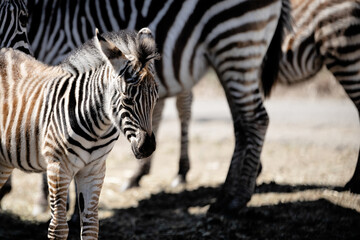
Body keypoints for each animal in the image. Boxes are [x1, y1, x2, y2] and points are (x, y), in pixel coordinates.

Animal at [0, 27, 159, 239]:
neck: (97, 128)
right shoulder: (57, 168)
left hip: (4, 161)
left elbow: (91, 224)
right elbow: (58, 227)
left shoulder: (94, 169)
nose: (148, 147)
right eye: (127, 99)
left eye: (155, 97)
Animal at [26, 0, 292, 214]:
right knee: (241, 122)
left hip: (235, 39)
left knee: (255, 119)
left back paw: (235, 199)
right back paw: (228, 193)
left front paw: (49, 202)